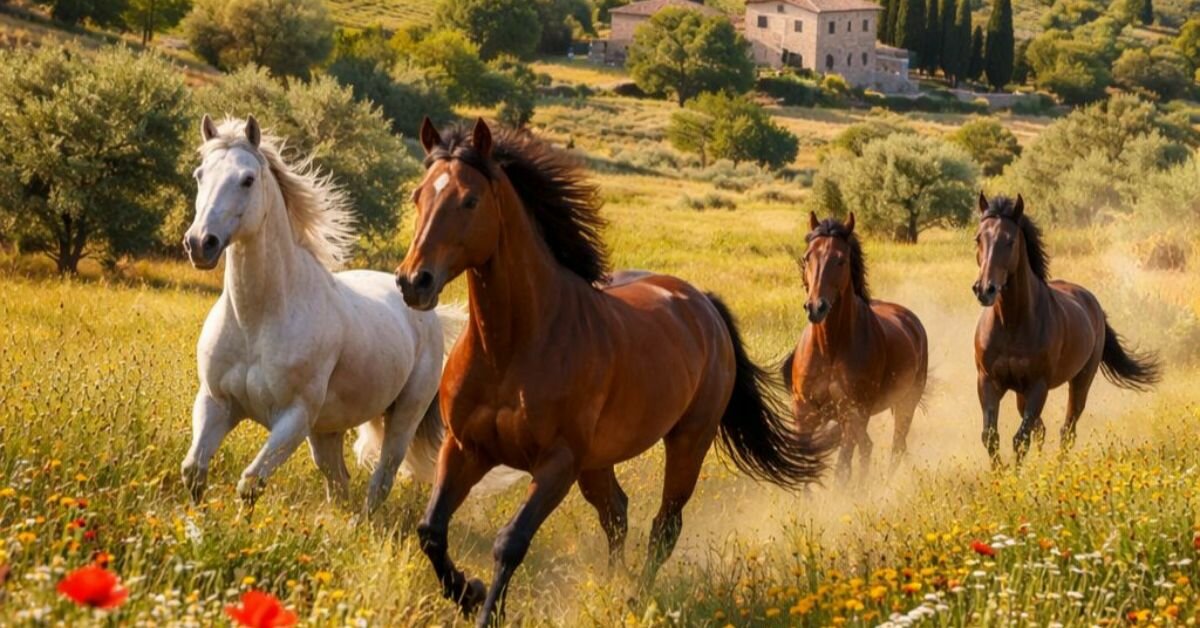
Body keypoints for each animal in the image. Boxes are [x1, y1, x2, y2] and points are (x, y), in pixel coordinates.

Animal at [180, 115, 470, 513]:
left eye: (247, 179)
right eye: (199, 175)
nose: (199, 243)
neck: (258, 320)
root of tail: (428, 313)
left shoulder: (294, 418)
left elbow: (250, 482)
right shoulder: (216, 402)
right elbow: (194, 470)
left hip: (402, 417)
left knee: (382, 477)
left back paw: (361, 524)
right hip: (327, 430)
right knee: (339, 480)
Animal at [394, 118, 830, 627]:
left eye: (469, 199)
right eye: (418, 196)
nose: (413, 281)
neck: (512, 347)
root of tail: (702, 303)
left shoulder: (557, 463)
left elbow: (510, 543)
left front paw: (486, 609)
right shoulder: (466, 448)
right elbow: (431, 531)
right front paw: (468, 593)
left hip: (687, 441)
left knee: (664, 525)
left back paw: (634, 599)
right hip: (598, 460)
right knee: (616, 513)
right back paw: (611, 586)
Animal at [781, 212, 928, 484]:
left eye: (840, 260)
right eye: (807, 257)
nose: (815, 307)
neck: (829, 348)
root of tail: (911, 321)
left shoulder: (852, 412)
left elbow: (842, 469)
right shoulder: (804, 411)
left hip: (905, 403)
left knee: (896, 447)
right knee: (868, 447)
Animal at [973, 193, 1160, 466]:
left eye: (1010, 240)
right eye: (978, 238)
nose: (985, 289)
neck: (1011, 323)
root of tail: (1092, 303)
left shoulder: (1038, 386)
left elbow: (1020, 439)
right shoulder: (988, 381)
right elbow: (991, 437)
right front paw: (1001, 474)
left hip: (1081, 381)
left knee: (1067, 430)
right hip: (1021, 392)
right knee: (1041, 429)